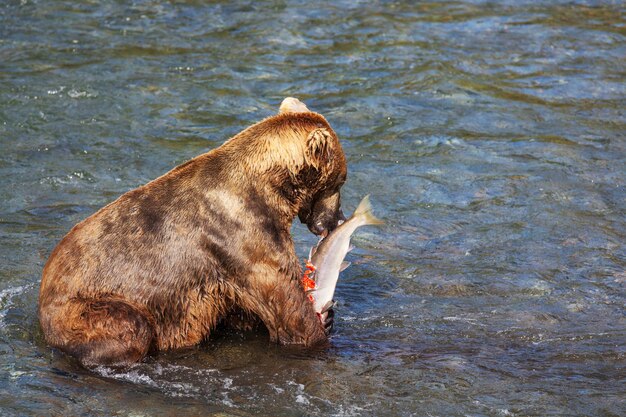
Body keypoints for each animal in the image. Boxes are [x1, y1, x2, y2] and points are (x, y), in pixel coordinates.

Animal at [38, 96, 346, 364]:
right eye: (340, 181)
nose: (337, 219)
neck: (270, 188)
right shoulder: (242, 234)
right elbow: (287, 307)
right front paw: (319, 333)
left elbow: (250, 313)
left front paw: (328, 318)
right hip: (85, 305)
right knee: (130, 326)